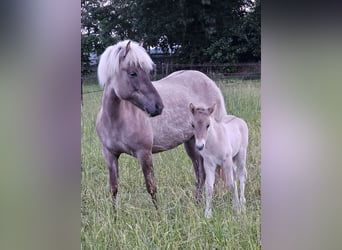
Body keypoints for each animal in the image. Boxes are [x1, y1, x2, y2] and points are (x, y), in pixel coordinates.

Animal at [95, 40, 227, 208]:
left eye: (147, 72)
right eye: (133, 73)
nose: (158, 107)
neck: (116, 120)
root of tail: (210, 82)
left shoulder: (144, 154)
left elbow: (151, 187)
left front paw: (157, 214)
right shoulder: (110, 155)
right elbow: (113, 188)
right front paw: (114, 214)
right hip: (192, 143)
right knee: (200, 173)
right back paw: (197, 202)